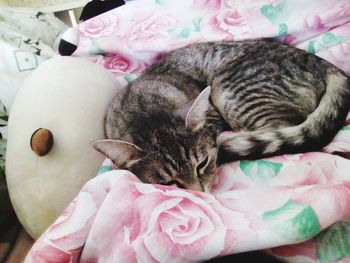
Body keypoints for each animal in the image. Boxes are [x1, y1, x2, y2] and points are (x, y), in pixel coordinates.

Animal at [93, 39, 350, 192]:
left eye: (201, 164)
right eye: (170, 183)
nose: (201, 194)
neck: (144, 109)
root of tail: (323, 63)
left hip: (231, 90)